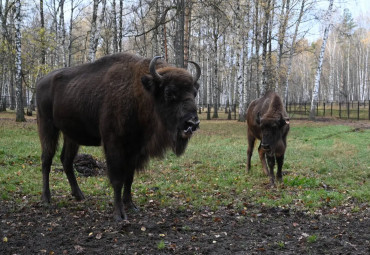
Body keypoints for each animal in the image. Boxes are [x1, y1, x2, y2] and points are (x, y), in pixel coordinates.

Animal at [36, 52, 201, 220]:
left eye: (194, 93)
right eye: (169, 93)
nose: (192, 123)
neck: (139, 92)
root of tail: (41, 81)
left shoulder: (135, 148)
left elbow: (129, 178)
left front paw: (131, 205)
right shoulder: (114, 144)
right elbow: (117, 179)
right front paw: (119, 214)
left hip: (71, 135)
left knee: (66, 160)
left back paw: (79, 195)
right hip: (47, 126)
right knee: (46, 159)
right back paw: (46, 199)